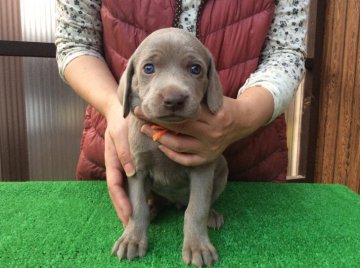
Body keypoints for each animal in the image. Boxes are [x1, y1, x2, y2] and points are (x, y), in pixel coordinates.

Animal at [112, 28, 228, 266]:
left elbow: (196, 209)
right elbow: (137, 207)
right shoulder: (137, 168)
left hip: (222, 168)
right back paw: (153, 207)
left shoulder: (202, 168)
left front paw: (198, 246)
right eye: (148, 68)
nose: (174, 99)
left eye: (195, 69)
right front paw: (132, 239)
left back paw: (212, 214)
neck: (166, 129)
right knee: (154, 200)